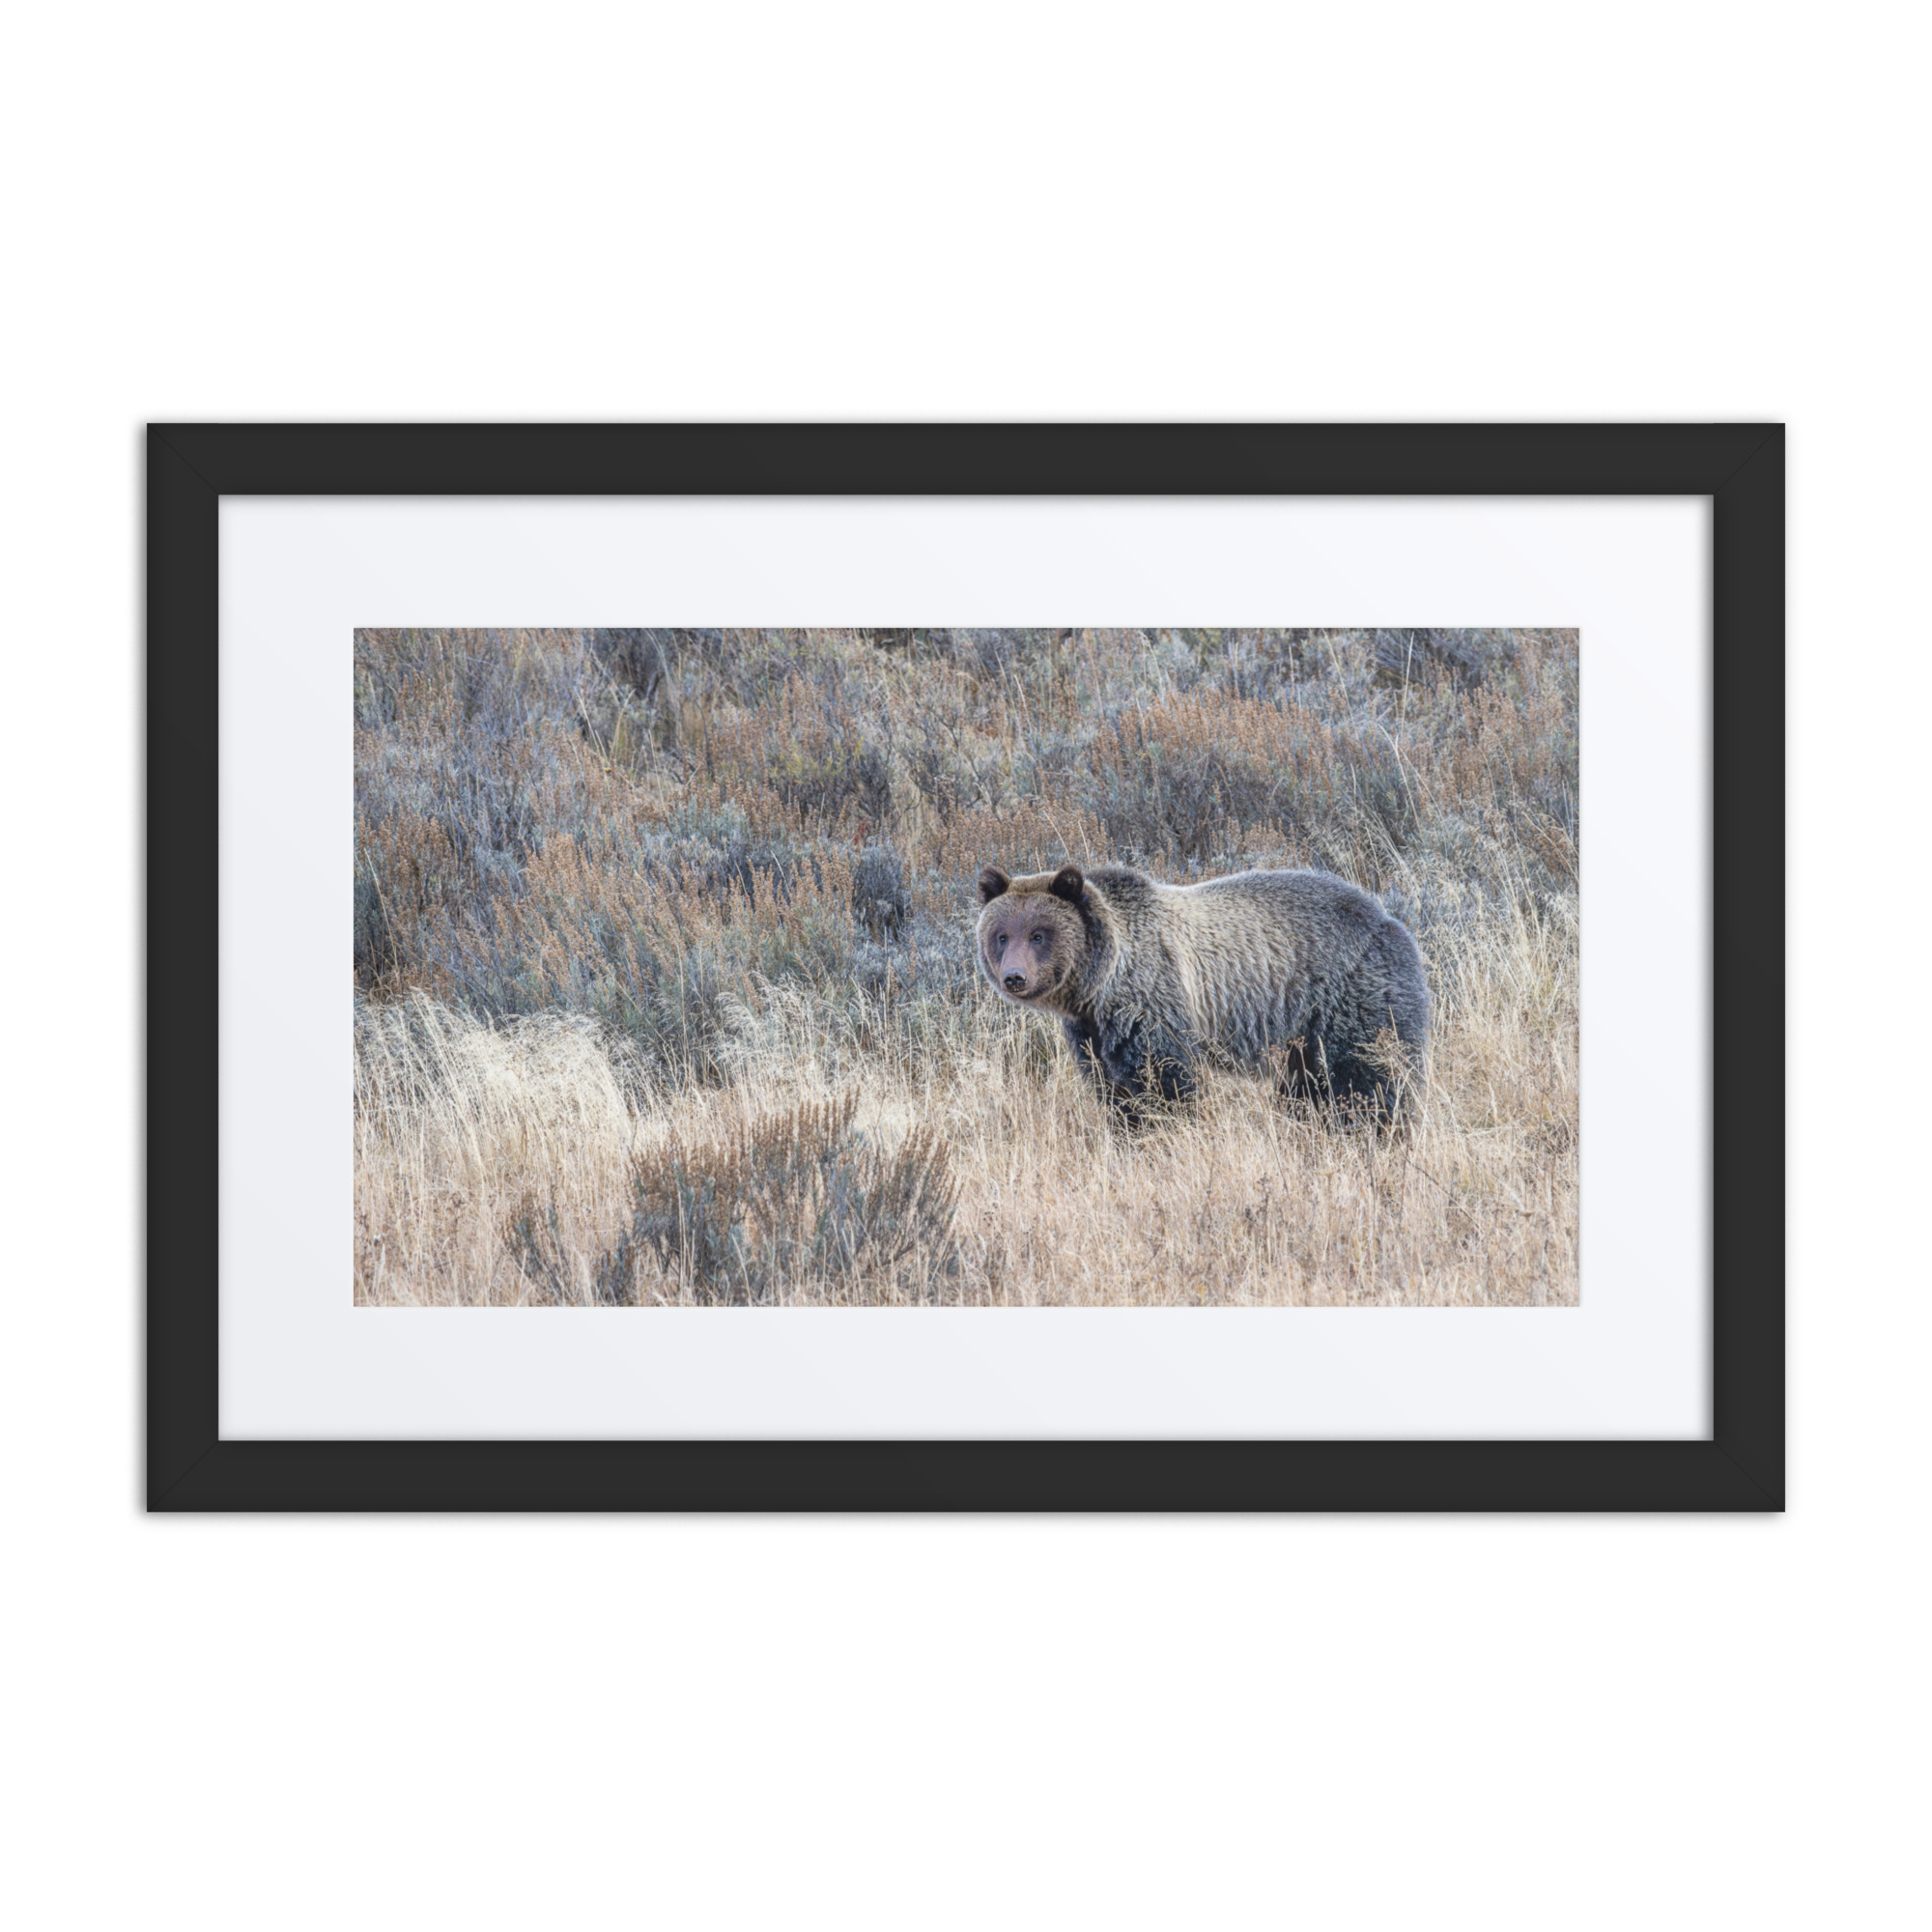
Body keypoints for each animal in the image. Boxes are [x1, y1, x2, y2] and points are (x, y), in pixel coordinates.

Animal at [975, 861, 1429, 1121]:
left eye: (1039, 934)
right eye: (1001, 935)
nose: (1014, 977)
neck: (1100, 985)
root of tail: (1390, 918)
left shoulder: (1152, 1002)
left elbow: (1165, 1082)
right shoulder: (1091, 1032)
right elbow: (1112, 1089)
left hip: (1351, 996)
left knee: (1369, 1076)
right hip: (1302, 1036)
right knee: (1308, 1088)